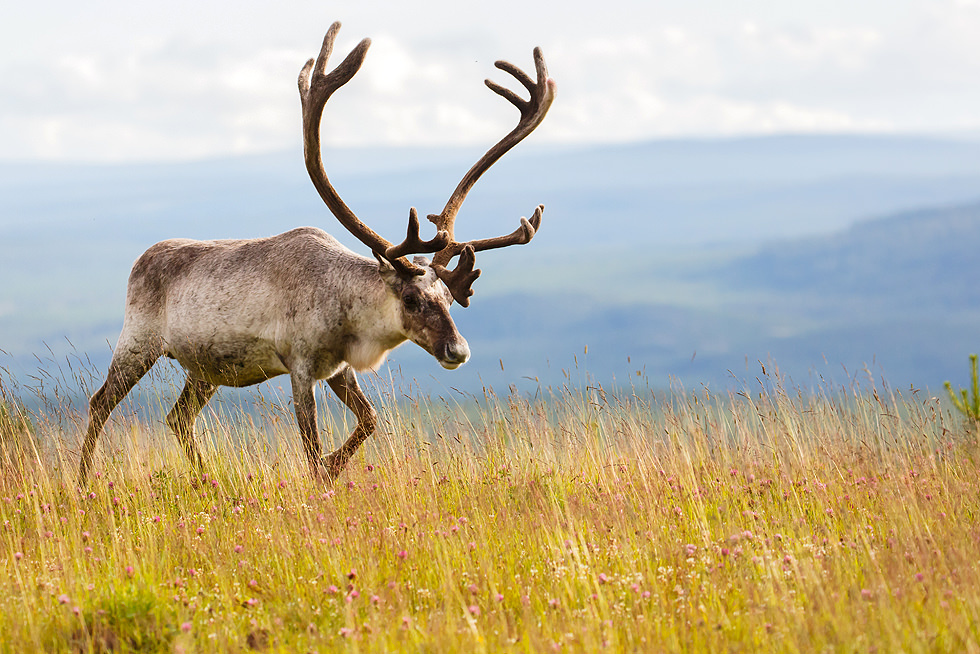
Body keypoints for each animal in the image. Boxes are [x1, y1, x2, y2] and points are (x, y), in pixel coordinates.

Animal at [76, 22, 557, 484]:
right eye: (410, 298)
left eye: (449, 299)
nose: (458, 351)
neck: (346, 310)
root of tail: (141, 260)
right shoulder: (301, 366)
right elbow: (310, 445)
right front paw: (322, 474)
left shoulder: (339, 368)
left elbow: (370, 420)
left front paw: (334, 466)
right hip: (138, 343)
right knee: (100, 403)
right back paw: (83, 481)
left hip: (207, 368)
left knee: (177, 418)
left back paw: (208, 476)